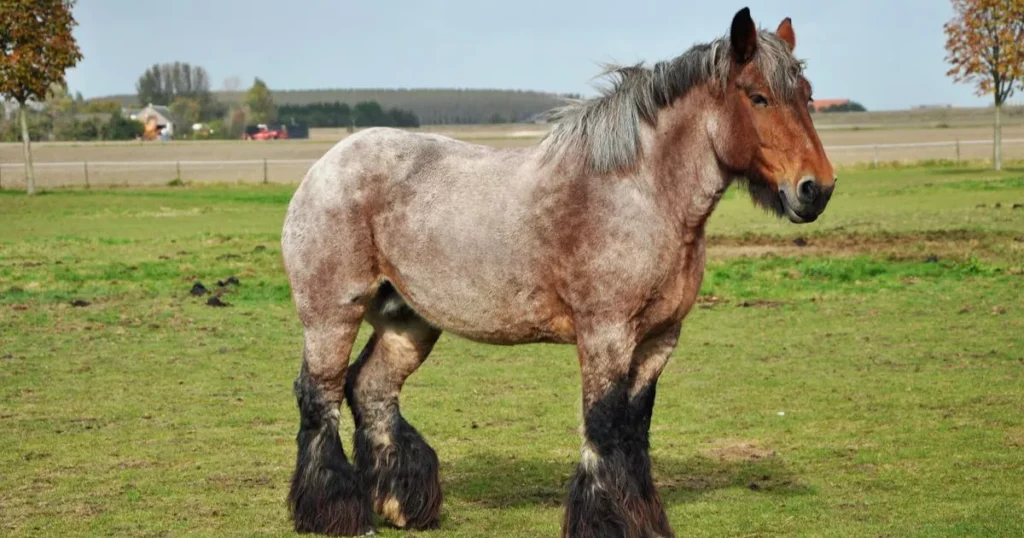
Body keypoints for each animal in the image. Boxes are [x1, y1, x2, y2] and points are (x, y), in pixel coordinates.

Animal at [278, 8, 831, 536]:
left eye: (807, 95)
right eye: (758, 97)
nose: (816, 189)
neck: (640, 194)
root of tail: (324, 166)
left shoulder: (658, 339)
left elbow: (634, 432)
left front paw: (644, 521)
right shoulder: (606, 334)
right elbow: (604, 426)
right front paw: (608, 523)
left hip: (407, 321)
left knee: (372, 391)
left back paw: (398, 506)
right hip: (332, 316)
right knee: (319, 397)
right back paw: (335, 513)